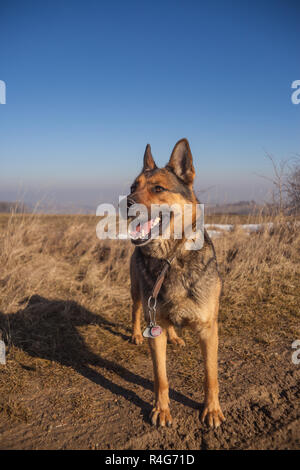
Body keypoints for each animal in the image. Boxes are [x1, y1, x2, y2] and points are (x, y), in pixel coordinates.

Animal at [126, 138, 225, 428]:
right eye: (132, 187)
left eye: (158, 188)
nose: (126, 202)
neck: (170, 258)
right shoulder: (154, 330)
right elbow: (161, 377)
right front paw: (161, 409)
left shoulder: (208, 330)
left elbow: (211, 376)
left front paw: (211, 410)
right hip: (137, 293)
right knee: (136, 310)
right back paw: (136, 334)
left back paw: (175, 337)